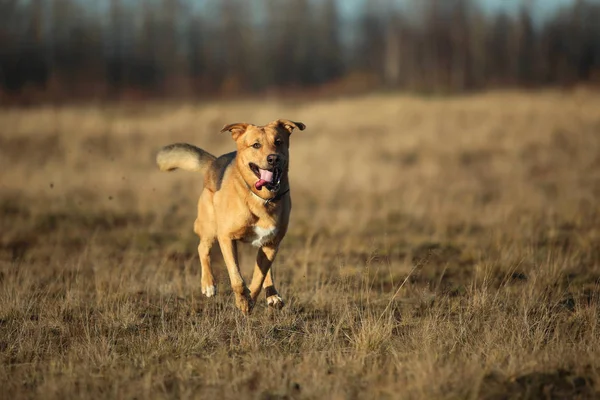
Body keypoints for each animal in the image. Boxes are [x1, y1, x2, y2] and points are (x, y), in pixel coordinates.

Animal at [156, 120, 304, 314]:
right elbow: (237, 278)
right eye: (256, 145)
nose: (273, 159)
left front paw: (249, 301)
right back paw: (208, 285)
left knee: (265, 270)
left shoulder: (272, 243)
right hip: (210, 227)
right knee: (202, 248)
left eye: (278, 142)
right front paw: (243, 301)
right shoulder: (226, 238)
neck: (262, 198)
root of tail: (213, 163)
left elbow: (258, 277)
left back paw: (272, 295)